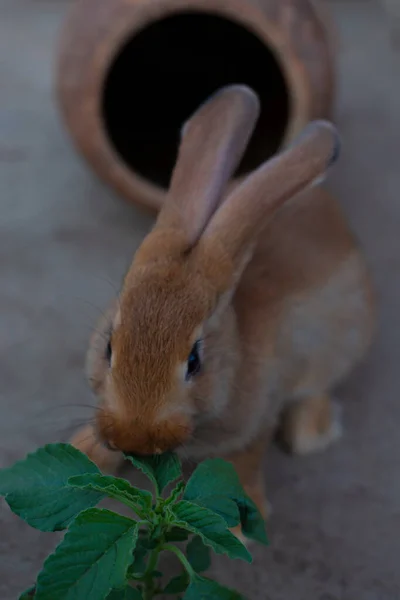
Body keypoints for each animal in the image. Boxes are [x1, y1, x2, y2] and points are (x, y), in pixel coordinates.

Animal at [70, 85, 374, 528]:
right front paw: (85, 451)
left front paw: (244, 524)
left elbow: (243, 462)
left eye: (195, 361)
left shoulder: (257, 418)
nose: (134, 436)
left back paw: (312, 433)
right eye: (109, 346)